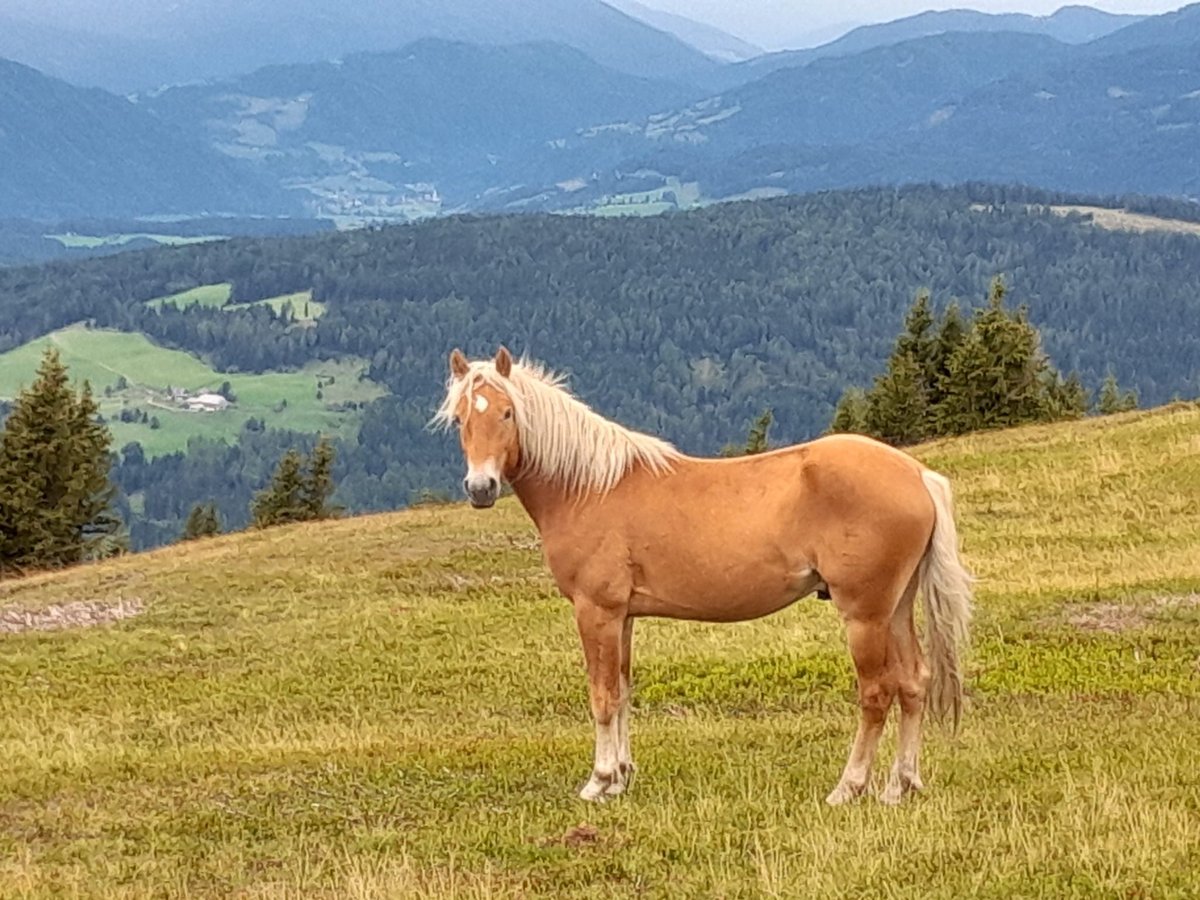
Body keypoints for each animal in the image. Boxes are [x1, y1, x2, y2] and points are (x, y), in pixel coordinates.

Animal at [436, 348, 969, 811]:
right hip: (895, 607)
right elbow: (623, 691)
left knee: (876, 693)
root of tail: (917, 475)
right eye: (461, 418)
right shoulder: (623, 616)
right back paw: (899, 785)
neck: (589, 487)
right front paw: (622, 778)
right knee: (914, 683)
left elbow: (602, 695)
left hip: (864, 614)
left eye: (507, 413)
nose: (480, 488)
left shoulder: (596, 611)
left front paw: (599, 781)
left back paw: (848, 787)